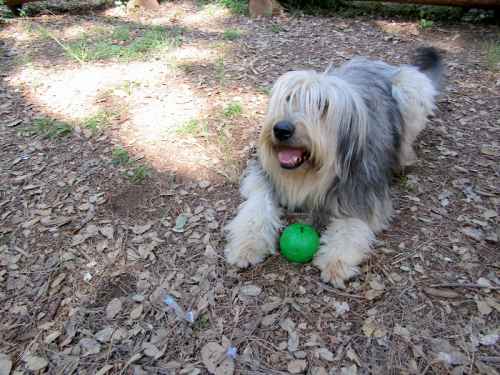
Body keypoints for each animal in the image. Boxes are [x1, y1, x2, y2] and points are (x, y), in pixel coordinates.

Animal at [226, 47, 442, 288]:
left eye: (322, 105)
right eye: (289, 98)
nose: (281, 129)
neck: (311, 172)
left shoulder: (363, 191)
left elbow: (351, 225)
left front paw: (336, 260)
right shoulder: (264, 177)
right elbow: (256, 208)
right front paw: (247, 245)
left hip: (410, 88)